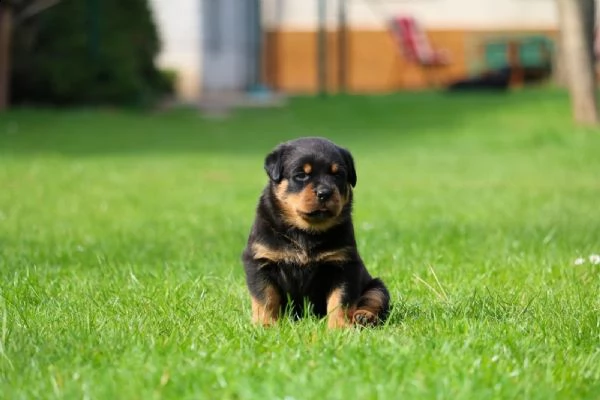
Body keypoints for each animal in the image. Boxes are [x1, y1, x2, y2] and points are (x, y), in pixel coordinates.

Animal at [241, 138, 392, 328]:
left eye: (337, 174)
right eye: (301, 175)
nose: (324, 192)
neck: (306, 232)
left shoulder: (344, 264)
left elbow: (340, 300)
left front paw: (339, 327)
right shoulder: (260, 260)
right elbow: (266, 297)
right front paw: (265, 325)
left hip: (377, 285)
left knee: (374, 299)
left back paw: (364, 316)